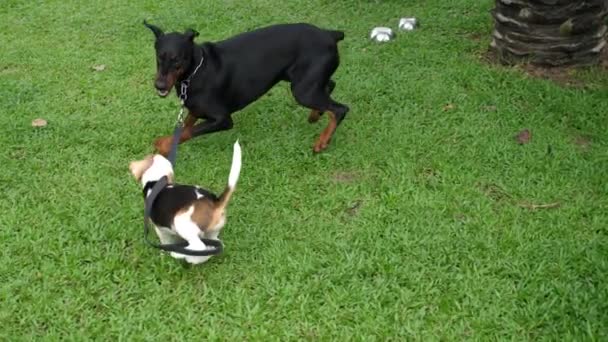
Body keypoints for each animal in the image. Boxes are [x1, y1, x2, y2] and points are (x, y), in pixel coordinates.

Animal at [143, 21, 350, 155]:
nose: (159, 85)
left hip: (302, 90)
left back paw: (322, 141)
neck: (195, 70)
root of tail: (330, 34)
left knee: (340, 109)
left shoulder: (223, 119)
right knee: (330, 86)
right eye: (159, 57)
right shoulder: (195, 108)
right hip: (306, 80)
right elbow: (185, 126)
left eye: (177, 60)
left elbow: (189, 131)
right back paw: (315, 115)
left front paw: (163, 145)